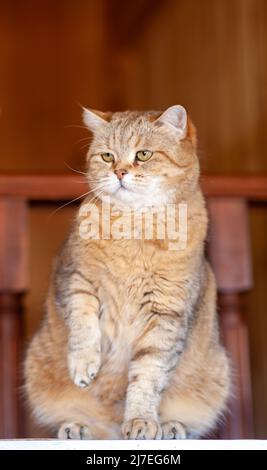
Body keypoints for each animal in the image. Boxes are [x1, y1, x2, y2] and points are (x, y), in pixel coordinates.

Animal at [24, 104, 231, 438]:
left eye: (143, 154)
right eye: (107, 156)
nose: (119, 172)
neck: (134, 227)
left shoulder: (167, 315)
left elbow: (147, 377)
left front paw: (141, 421)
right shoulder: (76, 279)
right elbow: (83, 325)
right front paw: (83, 363)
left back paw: (170, 427)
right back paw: (78, 428)